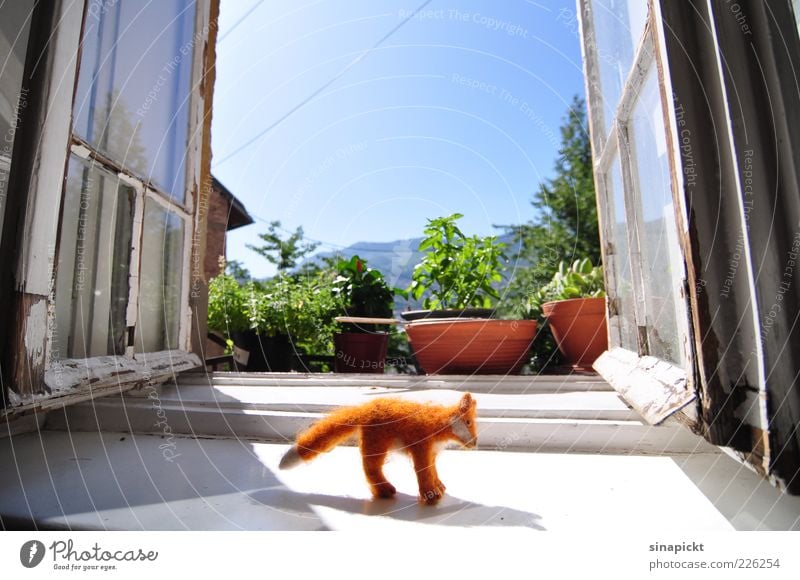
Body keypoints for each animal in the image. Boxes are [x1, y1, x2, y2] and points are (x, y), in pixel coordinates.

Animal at [278, 394, 478, 502]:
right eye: (468, 422)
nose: (476, 442)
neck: (438, 424)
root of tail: (366, 409)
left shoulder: (431, 453)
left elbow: (433, 472)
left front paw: (439, 487)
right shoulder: (421, 448)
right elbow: (424, 473)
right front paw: (431, 496)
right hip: (377, 445)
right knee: (370, 467)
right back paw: (384, 491)